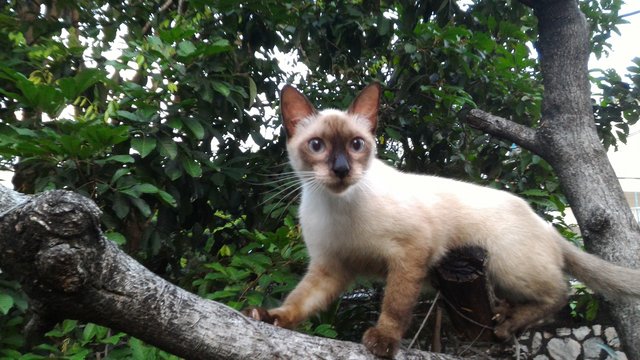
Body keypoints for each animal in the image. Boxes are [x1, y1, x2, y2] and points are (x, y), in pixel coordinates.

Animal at [246, 83, 640, 358]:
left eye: (356, 145)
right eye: (317, 146)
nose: (342, 170)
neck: (338, 206)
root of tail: (541, 220)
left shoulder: (410, 252)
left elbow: (395, 306)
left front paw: (383, 341)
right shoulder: (331, 268)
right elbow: (299, 302)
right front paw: (269, 317)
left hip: (506, 264)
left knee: (560, 293)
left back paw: (507, 323)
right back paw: (504, 314)